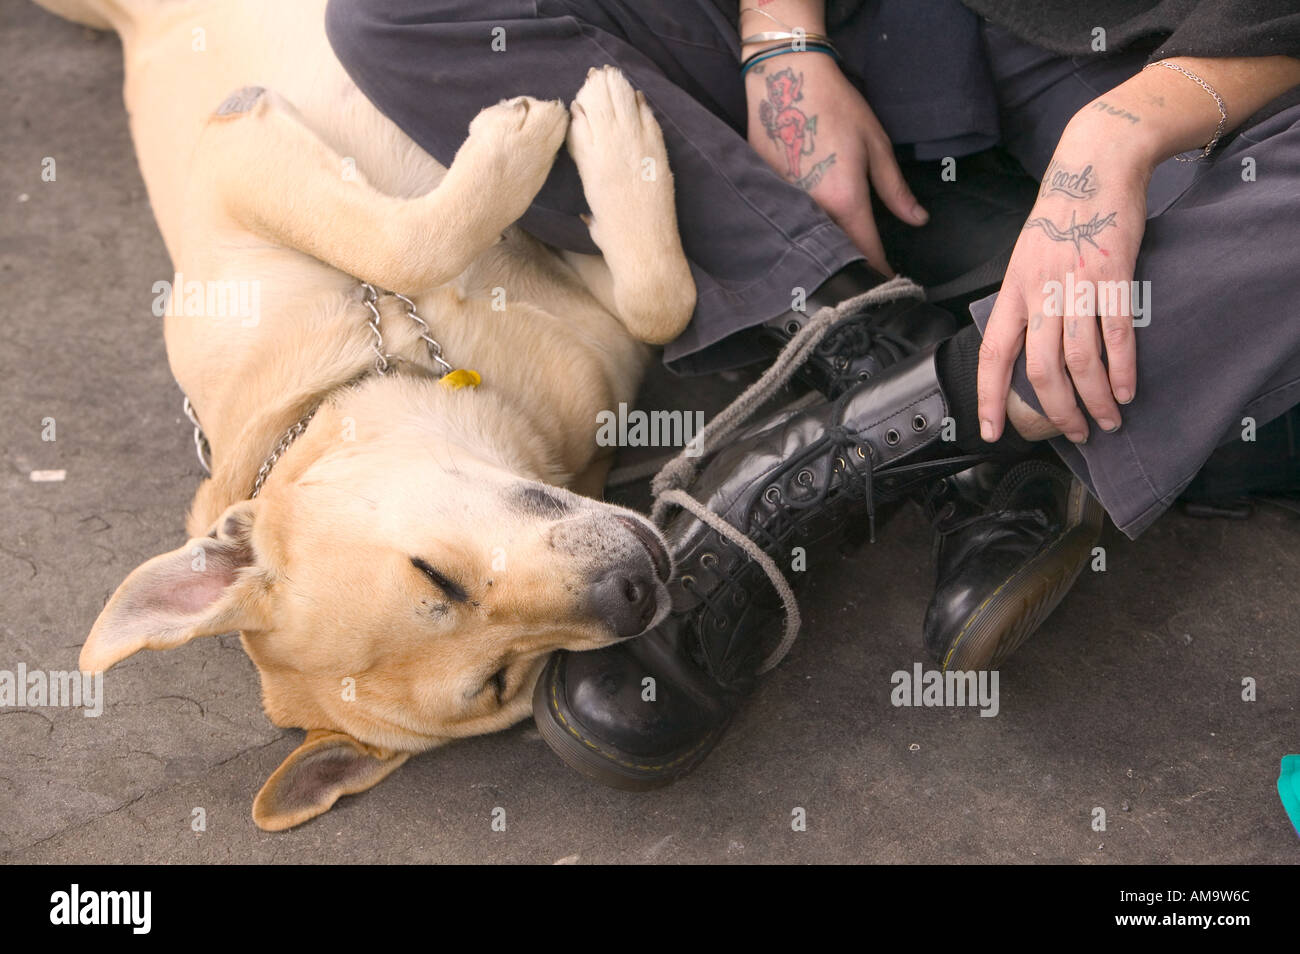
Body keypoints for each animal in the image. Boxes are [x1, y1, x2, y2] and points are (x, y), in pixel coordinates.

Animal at [40, 0, 696, 831]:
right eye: (499, 681)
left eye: (432, 573)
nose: (632, 591)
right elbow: (657, 304)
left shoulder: (232, 158)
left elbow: (403, 243)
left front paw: (567, 138)